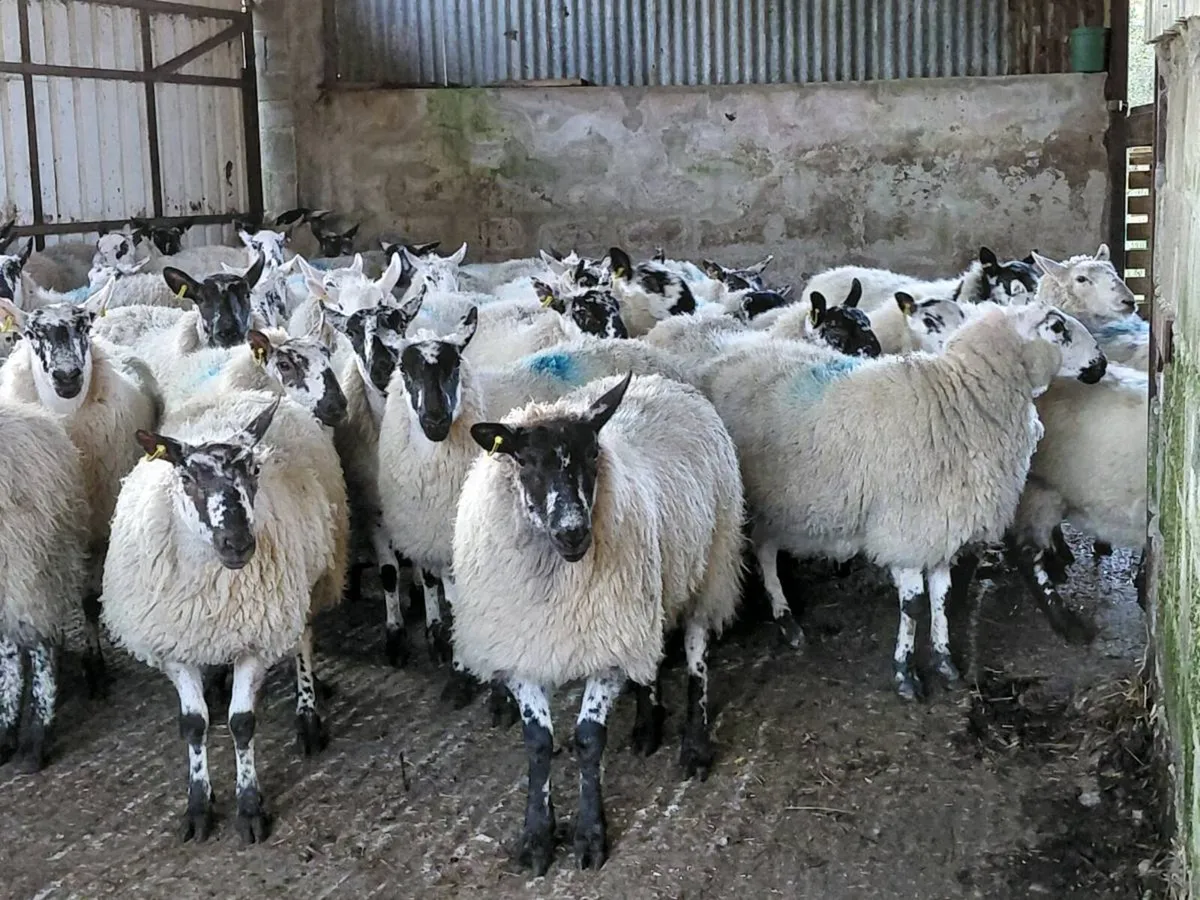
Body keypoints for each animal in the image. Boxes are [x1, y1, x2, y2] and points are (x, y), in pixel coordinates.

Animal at [0, 281, 161, 697]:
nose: (67, 376)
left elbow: (89, 600)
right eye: (31, 333)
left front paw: (96, 666)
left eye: (84, 326)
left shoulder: (100, 528)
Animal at [101, 392, 348, 844]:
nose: (237, 543)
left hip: (310, 575)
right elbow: (193, 724)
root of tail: (243, 394)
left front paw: (249, 808)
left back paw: (307, 715)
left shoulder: (255, 638)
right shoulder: (175, 645)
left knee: (302, 638)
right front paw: (198, 806)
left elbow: (243, 723)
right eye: (186, 478)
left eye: (254, 470)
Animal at [452, 372, 744, 874]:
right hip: (646, 598)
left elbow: (588, 739)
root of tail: (658, 379)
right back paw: (648, 726)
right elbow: (538, 742)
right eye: (524, 460)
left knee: (696, 657)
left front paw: (590, 836)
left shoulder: (605, 647)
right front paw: (537, 836)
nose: (573, 532)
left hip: (711, 565)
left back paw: (695, 746)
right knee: (649, 659)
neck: (556, 573)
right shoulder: (524, 648)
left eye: (592, 453)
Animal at [700, 301, 1107, 698]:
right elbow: (913, 604)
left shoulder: (940, 524)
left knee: (766, 546)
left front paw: (946, 662)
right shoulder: (908, 527)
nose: (1101, 363)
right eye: (1057, 327)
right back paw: (785, 619)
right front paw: (906, 674)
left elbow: (941, 596)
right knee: (764, 553)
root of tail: (730, 352)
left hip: (780, 503)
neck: (961, 400)